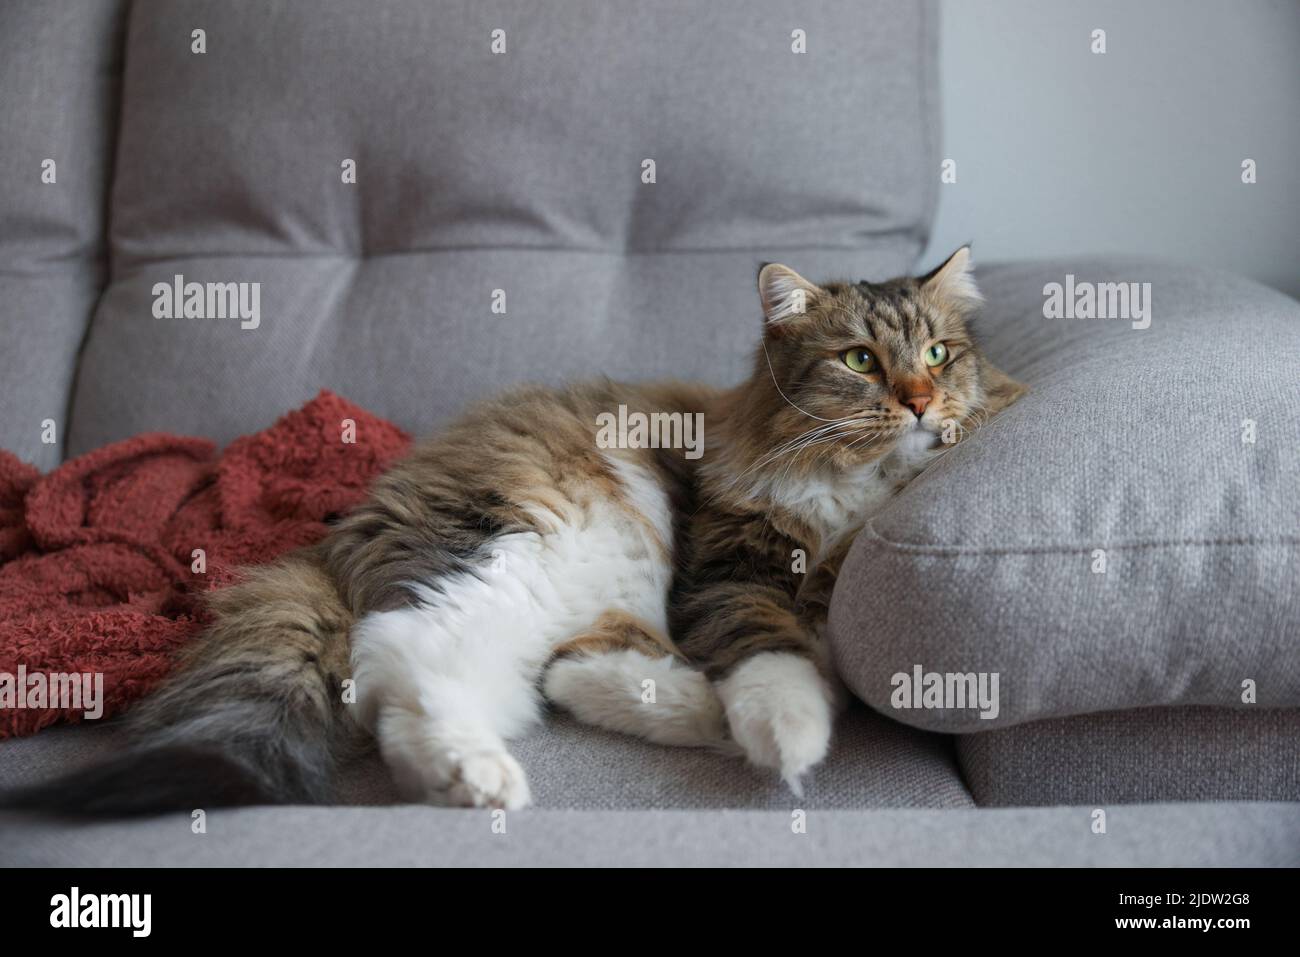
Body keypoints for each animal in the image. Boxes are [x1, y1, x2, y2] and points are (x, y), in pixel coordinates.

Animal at [7, 243, 1024, 811]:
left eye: (940, 353)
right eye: (860, 361)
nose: (922, 400)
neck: (857, 494)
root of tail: (335, 534)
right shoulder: (727, 568)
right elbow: (776, 660)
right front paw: (790, 739)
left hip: (587, 586)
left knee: (553, 674)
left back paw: (689, 714)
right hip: (532, 546)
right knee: (401, 663)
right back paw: (479, 778)